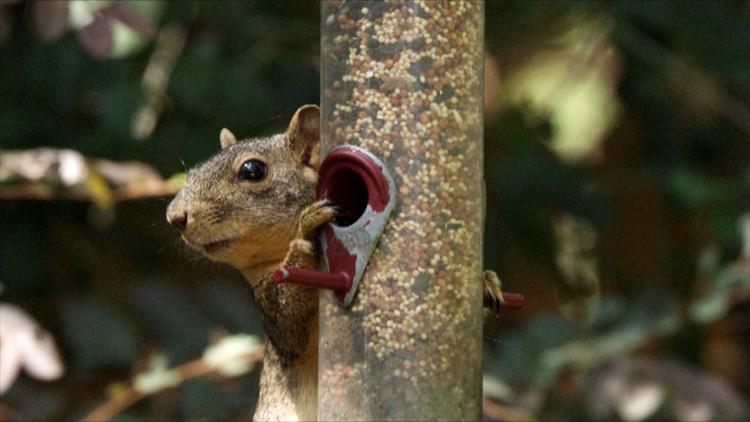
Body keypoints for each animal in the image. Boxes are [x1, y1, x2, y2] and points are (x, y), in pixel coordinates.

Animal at [164, 104, 506, 418]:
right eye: (190, 174)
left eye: (252, 170)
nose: (175, 217)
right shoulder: (274, 315)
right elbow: (291, 327)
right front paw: (306, 233)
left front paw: (485, 282)